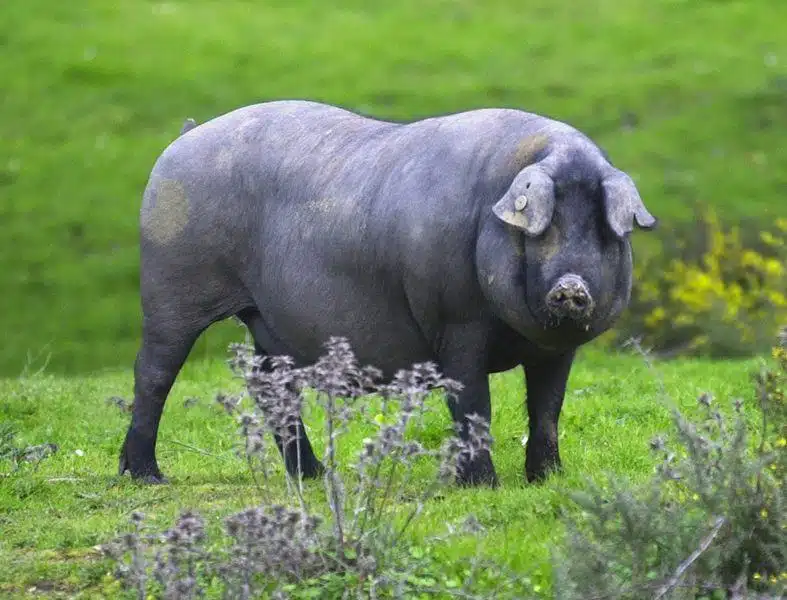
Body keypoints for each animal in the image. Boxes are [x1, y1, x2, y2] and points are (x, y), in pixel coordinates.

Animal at [118, 99, 660, 488]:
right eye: (542, 231)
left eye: (602, 232)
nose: (571, 288)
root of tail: (184, 136)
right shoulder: (455, 324)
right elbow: (473, 404)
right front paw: (481, 486)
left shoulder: (556, 349)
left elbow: (547, 407)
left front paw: (548, 480)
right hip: (171, 283)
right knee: (153, 371)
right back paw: (146, 476)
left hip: (264, 318)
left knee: (269, 382)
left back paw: (314, 475)